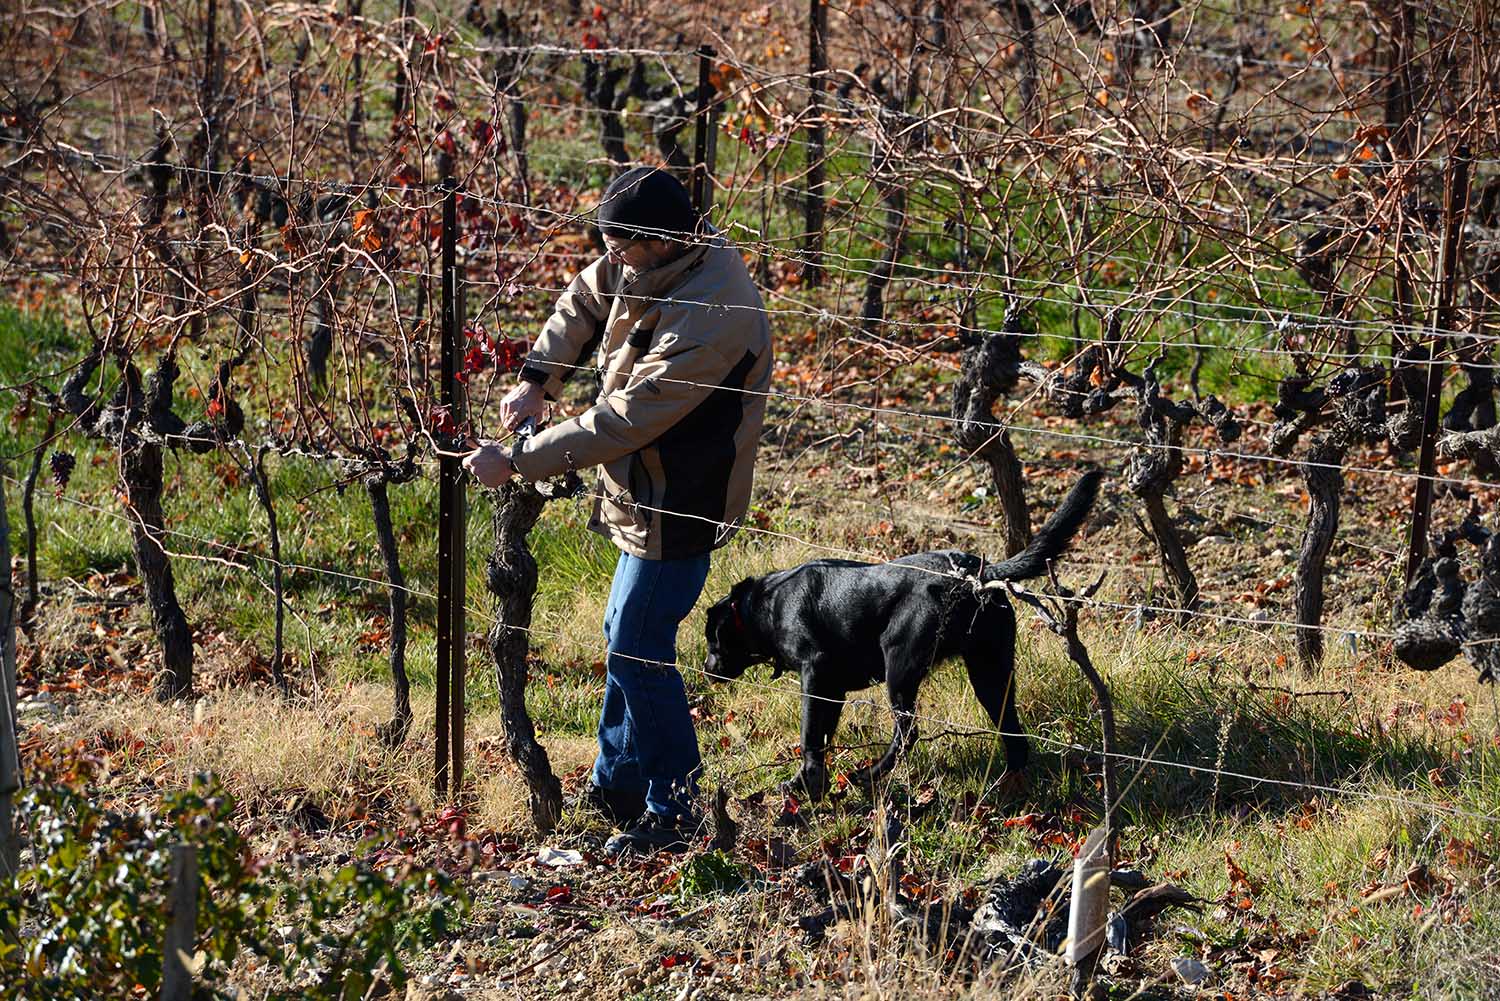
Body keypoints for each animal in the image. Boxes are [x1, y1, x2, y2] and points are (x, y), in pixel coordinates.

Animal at [702, 471, 1104, 804]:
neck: (766, 604)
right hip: (990, 670)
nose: (705, 669)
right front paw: (808, 783)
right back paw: (1009, 788)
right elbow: (822, 736)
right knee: (1013, 733)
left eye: (712, 641)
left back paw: (870, 775)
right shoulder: (832, 689)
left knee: (907, 732)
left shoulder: (815, 673)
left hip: (900, 666)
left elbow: (810, 737)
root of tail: (975, 573)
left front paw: (810, 785)